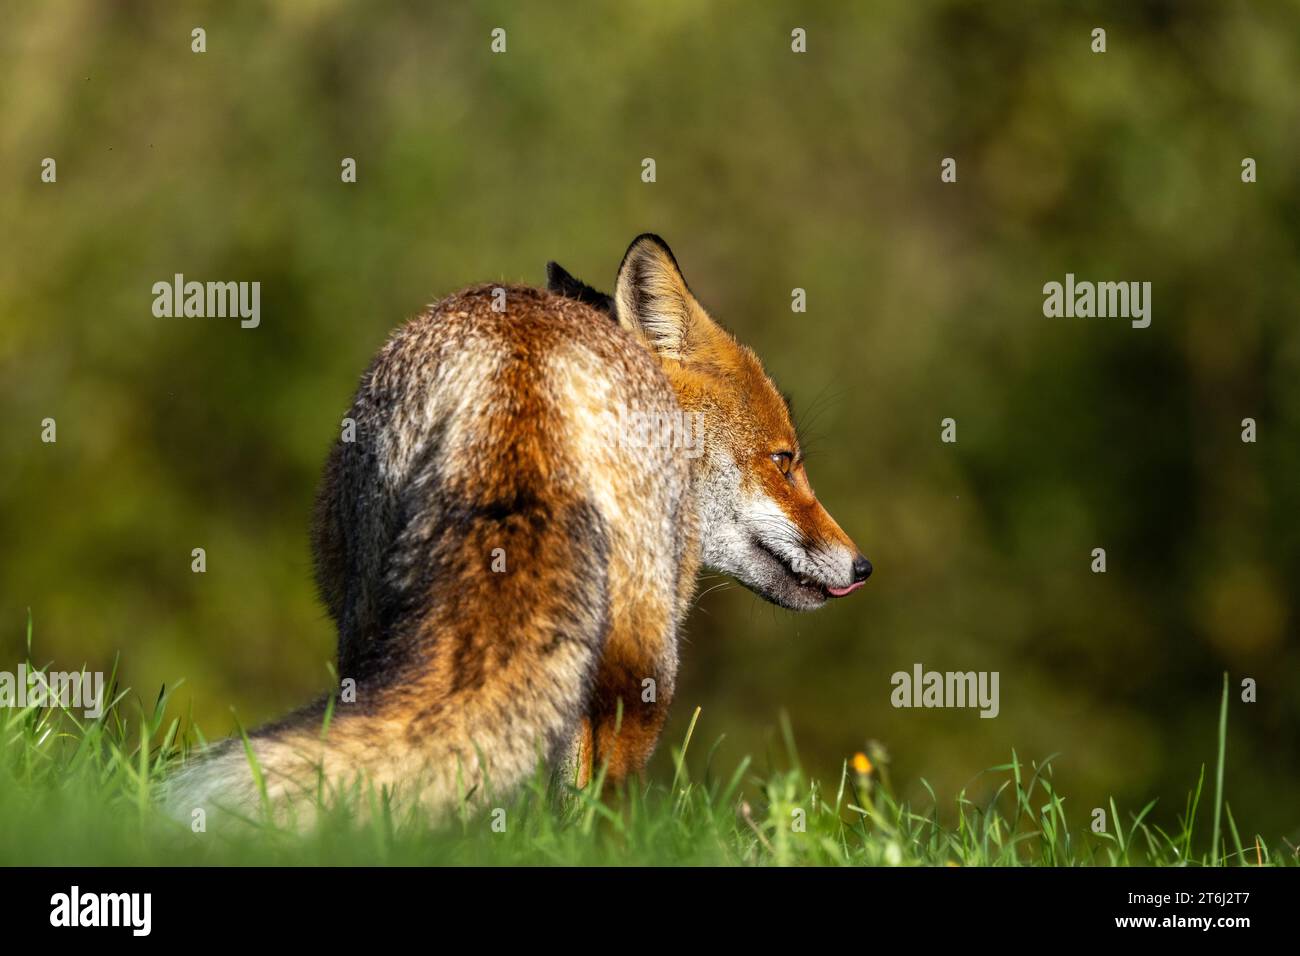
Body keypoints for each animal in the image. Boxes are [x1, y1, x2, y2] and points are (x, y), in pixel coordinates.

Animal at [166, 234, 871, 826]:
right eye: (785, 461)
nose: (862, 566)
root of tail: (523, 365)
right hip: (646, 658)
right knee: (603, 792)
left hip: (379, 624)